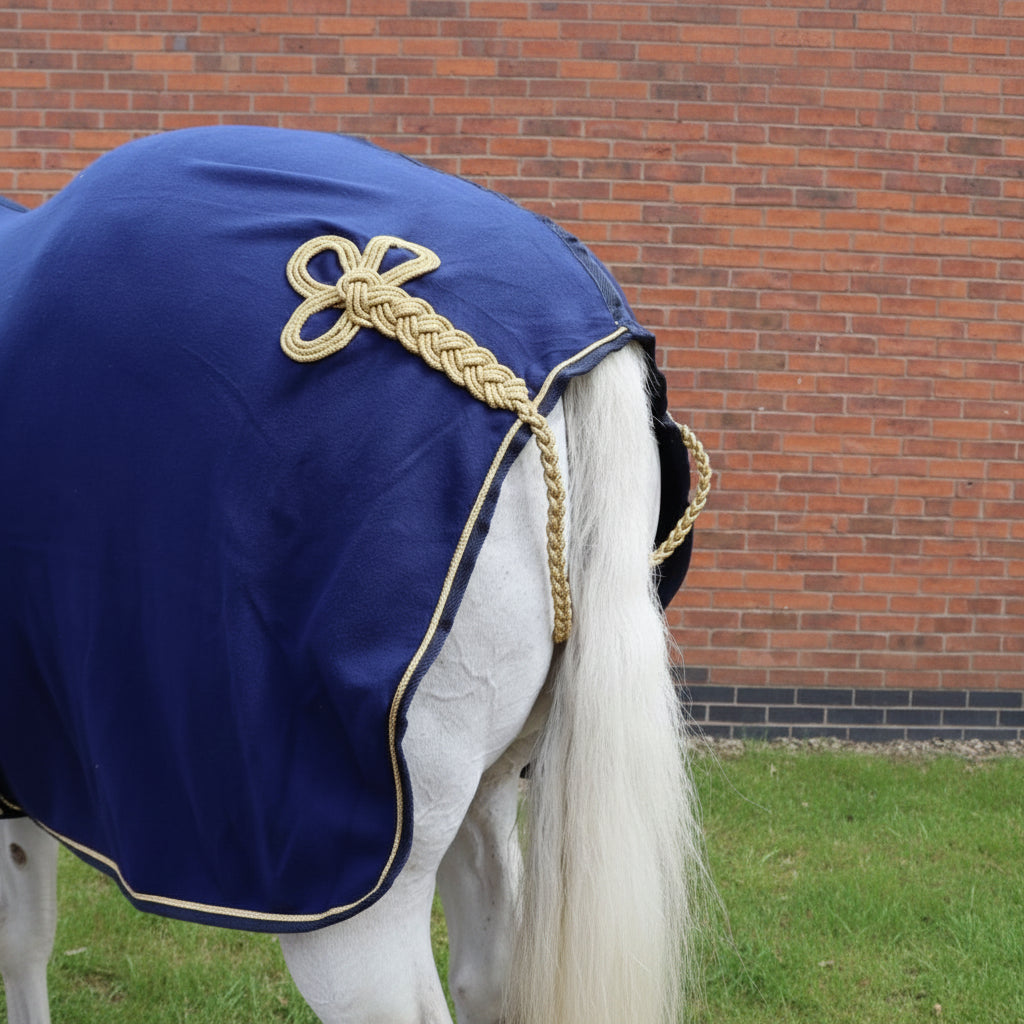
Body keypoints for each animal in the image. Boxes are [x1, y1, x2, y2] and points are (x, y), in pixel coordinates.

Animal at [0, 127, 708, 1024]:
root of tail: (568, 361)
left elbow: (17, 937)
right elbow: (29, 934)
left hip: (350, 895)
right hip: (480, 800)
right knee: (489, 975)